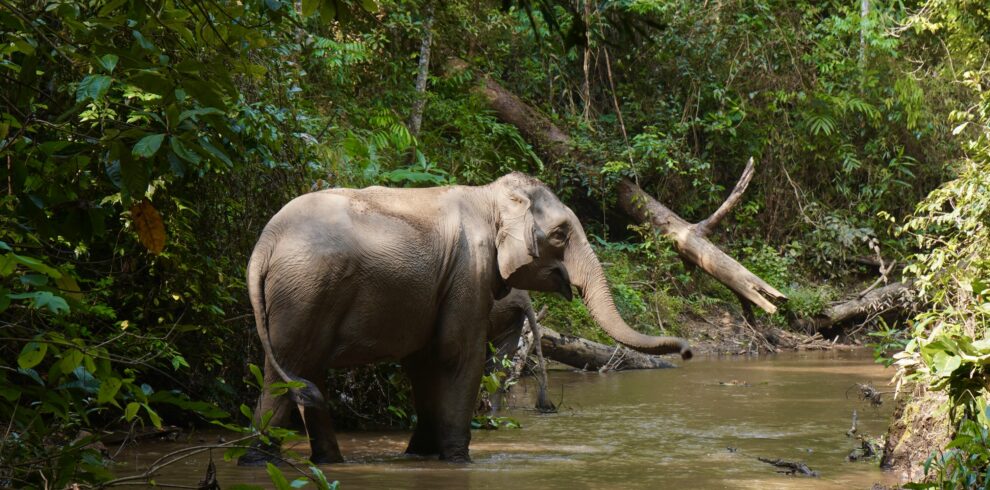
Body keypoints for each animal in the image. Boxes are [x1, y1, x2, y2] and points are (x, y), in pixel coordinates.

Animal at [240, 172, 692, 465]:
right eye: (561, 235)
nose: (688, 351)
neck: (487, 196)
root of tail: (263, 244)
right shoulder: (467, 269)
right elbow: (457, 355)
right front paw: (458, 461)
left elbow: (423, 361)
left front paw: (420, 455)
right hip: (307, 290)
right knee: (290, 371)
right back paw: (263, 462)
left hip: (298, 295)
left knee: (297, 374)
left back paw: (313, 462)